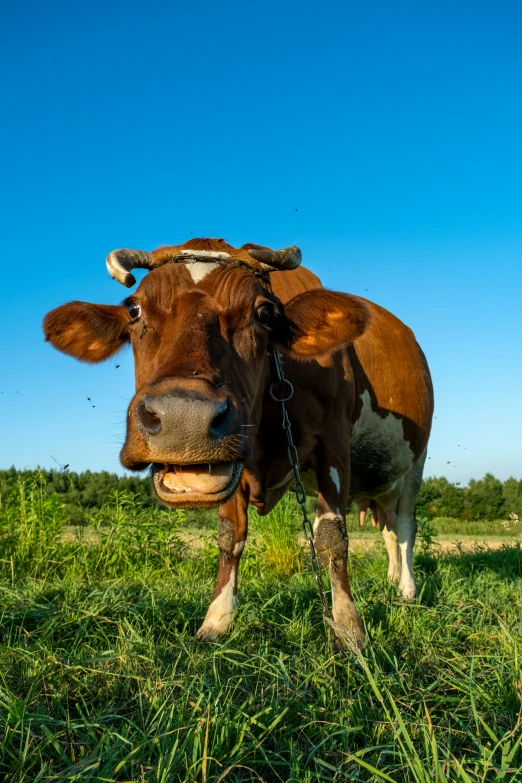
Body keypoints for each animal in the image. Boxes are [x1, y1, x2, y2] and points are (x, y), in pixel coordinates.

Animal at [42, 237, 430, 648]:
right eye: (134, 309)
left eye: (263, 313)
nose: (184, 418)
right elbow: (230, 536)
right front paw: (217, 620)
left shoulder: (334, 442)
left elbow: (331, 537)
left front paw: (348, 629)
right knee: (389, 530)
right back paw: (392, 579)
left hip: (416, 462)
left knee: (406, 527)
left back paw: (406, 590)